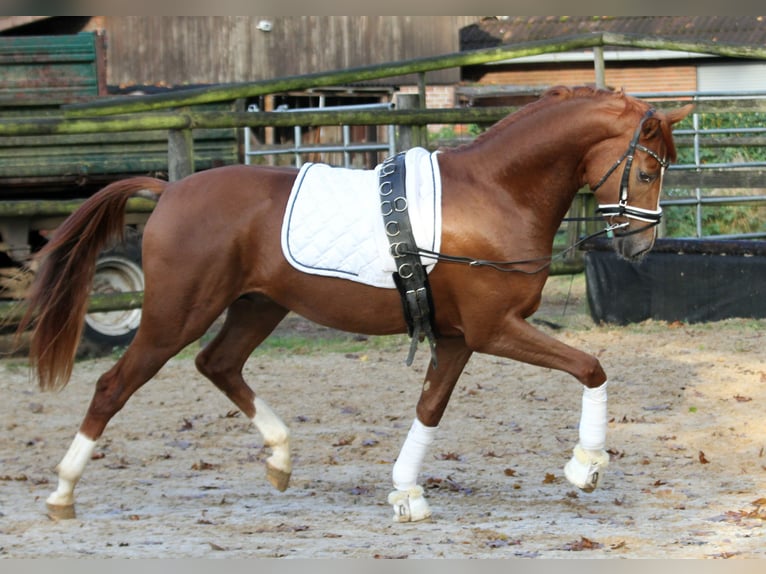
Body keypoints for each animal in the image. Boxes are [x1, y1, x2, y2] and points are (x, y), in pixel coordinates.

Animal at [18, 85, 692, 520]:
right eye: (649, 171)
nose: (639, 244)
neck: (497, 193)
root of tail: (170, 191)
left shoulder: (457, 339)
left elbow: (429, 408)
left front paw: (406, 493)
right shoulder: (493, 328)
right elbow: (591, 367)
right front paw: (587, 466)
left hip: (257, 306)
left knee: (219, 364)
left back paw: (281, 457)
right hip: (175, 316)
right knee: (114, 386)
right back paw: (62, 493)